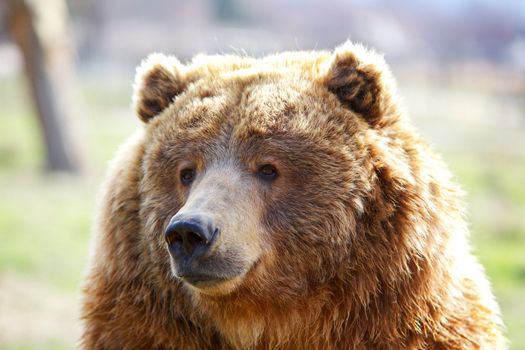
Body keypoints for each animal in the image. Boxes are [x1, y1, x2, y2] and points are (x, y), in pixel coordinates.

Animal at [81, 42, 504, 348]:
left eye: (268, 168)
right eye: (187, 171)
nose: (189, 232)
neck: (269, 320)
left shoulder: (414, 327)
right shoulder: (140, 327)